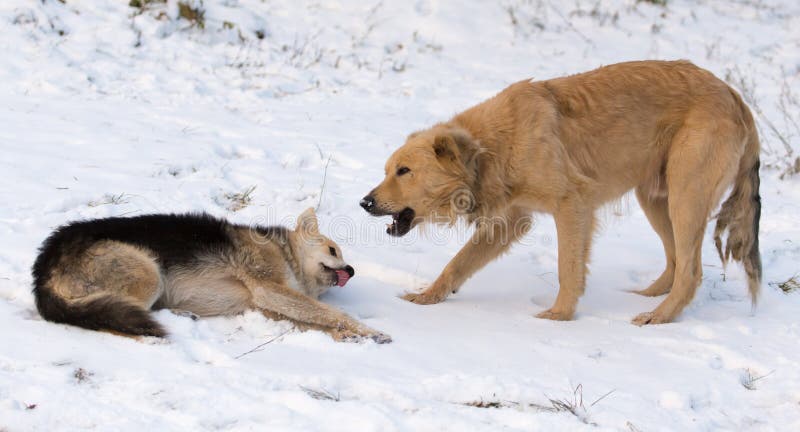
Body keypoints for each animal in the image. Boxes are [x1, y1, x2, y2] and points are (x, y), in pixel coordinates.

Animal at [362, 60, 764, 324]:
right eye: (388, 170)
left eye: (404, 171)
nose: (364, 202)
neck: (491, 148)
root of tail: (735, 96)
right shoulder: (511, 221)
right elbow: (457, 263)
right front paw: (429, 297)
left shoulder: (572, 205)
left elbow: (567, 268)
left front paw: (560, 316)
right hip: (655, 197)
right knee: (676, 260)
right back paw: (649, 298)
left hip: (685, 197)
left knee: (691, 270)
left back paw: (660, 316)